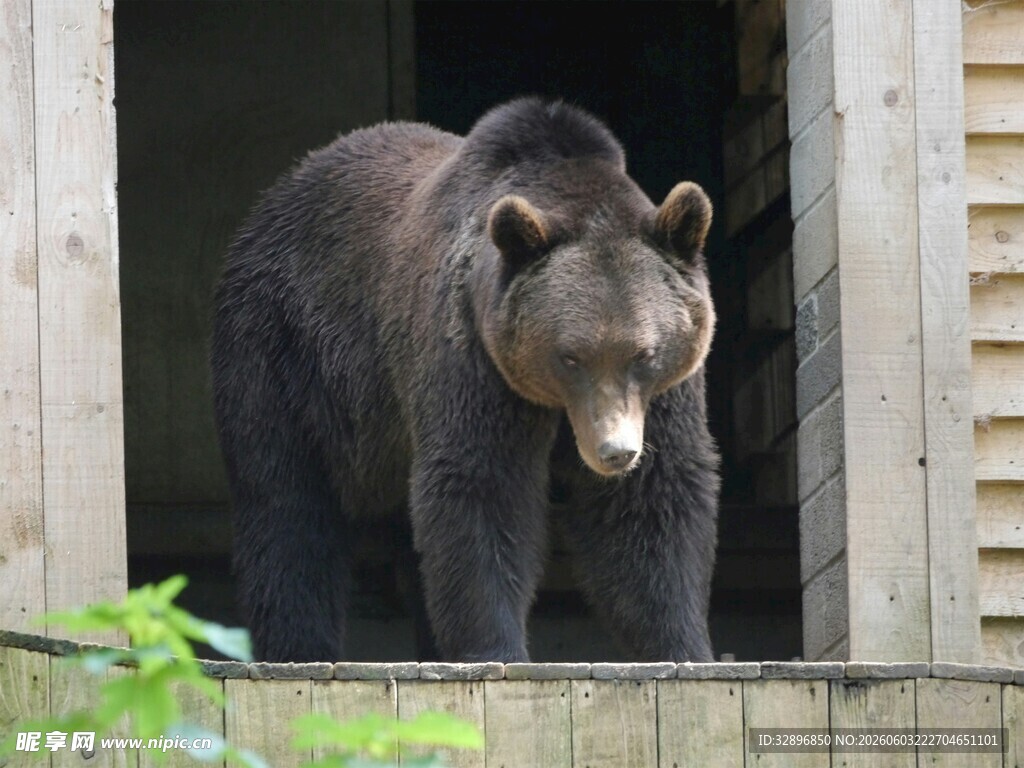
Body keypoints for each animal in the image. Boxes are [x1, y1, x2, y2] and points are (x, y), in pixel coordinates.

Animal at [211, 97, 720, 664]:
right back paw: (299, 646)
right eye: (570, 357)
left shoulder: (665, 394)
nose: (615, 451)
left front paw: (683, 646)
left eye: (643, 353)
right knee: (286, 503)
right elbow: (482, 482)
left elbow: (651, 500)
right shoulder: (470, 353)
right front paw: (496, 648)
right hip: (285, 351)